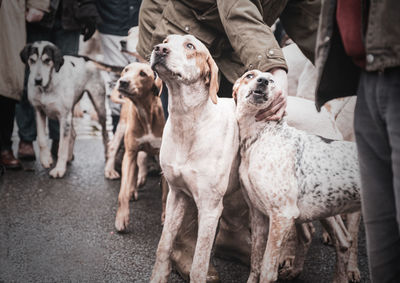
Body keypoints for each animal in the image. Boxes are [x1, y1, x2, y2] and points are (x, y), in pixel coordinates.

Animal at [233, 69, 360, 283]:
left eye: (272, 81)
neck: (260, 136)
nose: (263, 81)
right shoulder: (257, 215)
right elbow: (255, 262)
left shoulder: (281, 216)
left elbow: (267, 269)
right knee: (343, 241)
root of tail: (327, 111)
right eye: (249, 75)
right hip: (324, 209)